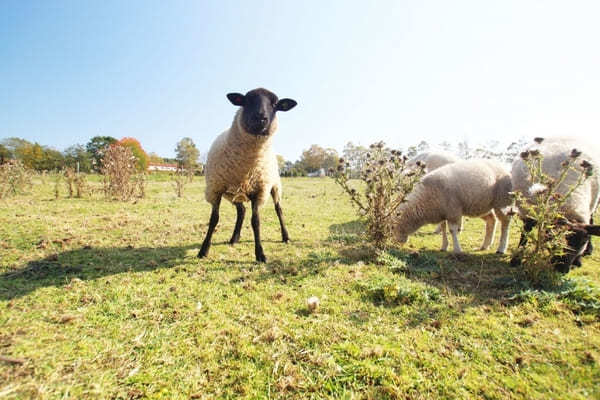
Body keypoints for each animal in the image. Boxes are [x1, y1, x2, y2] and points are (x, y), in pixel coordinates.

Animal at [199, 87, 298, 262]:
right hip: (233, 193)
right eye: (246, 101)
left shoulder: (259, 191)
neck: (245, 167)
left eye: (275, 104)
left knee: (278, 209)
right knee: (241, 211)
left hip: (275, 186)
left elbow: (256, 221)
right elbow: (213, 220)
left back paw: (285, 236)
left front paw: (260, 254)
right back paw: (234, 238)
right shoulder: (215, 189)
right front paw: (204, 250)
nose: (261, 118)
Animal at [510, 137, 600, 272]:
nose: (562, 270)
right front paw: (516, 259)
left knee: (592, 219)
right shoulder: (528, 211)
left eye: (583, 242)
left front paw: (578, 260)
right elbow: (525, 232)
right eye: (556, 238)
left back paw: (588, 251)